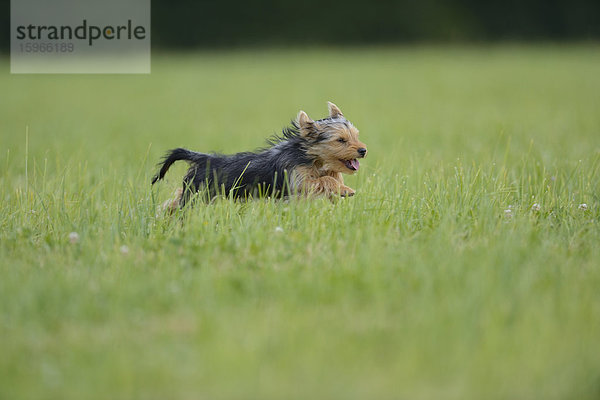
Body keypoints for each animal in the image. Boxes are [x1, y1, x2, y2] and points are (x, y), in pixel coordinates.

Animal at [151, 101, 366, 209]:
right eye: (340, 140)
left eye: (356, 136)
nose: (363, 150)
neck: (310, 156)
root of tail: (203, 158)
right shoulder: (298, 180)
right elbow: (323, 181)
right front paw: (344, 189)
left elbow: (332, 178)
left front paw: (342, 189)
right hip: (197, 195)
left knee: (174, 201)